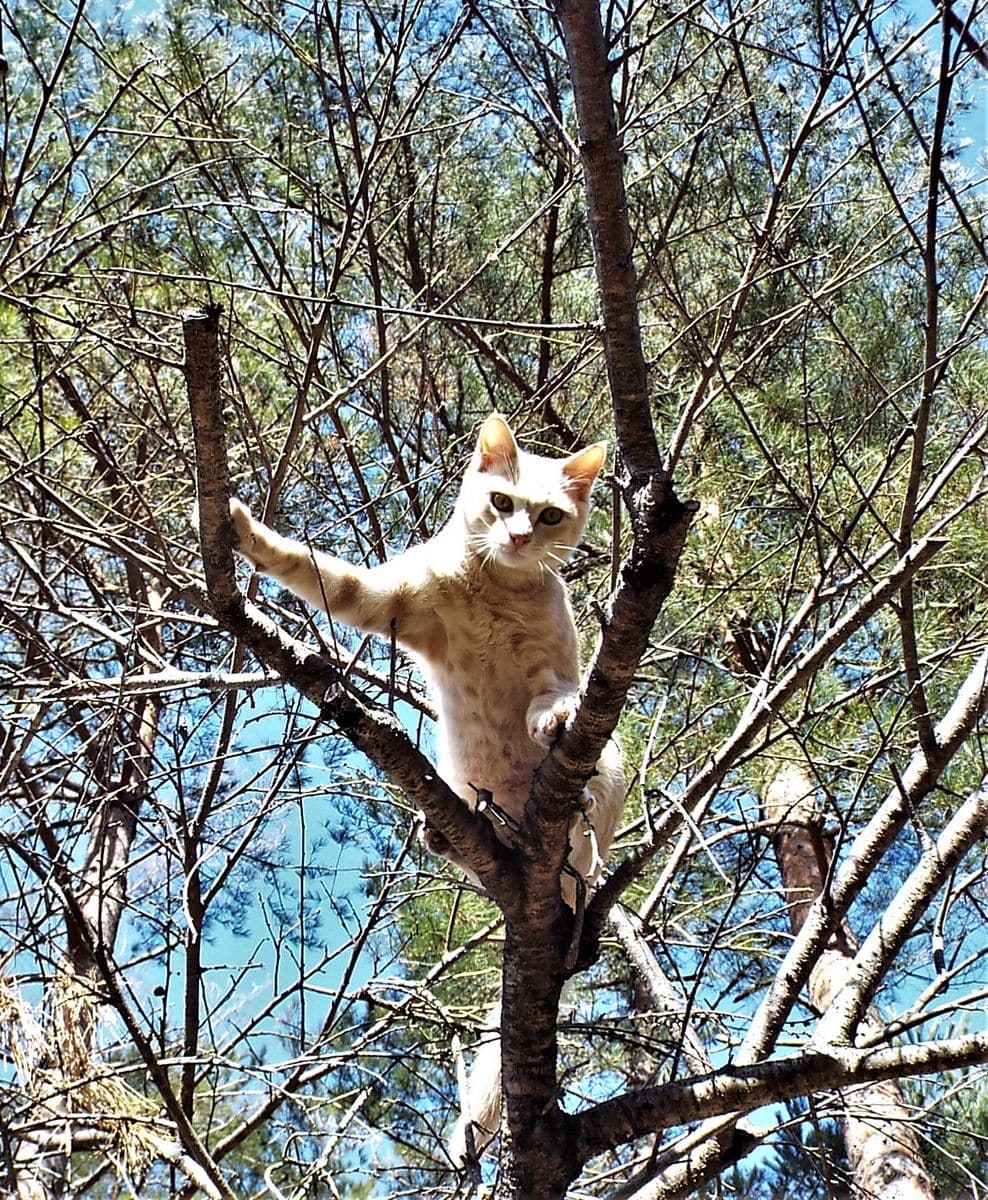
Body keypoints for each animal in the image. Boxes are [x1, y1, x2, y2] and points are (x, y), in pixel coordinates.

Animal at [224, 412, 624, 1161]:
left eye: (550, 515)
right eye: (502, 502)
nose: (519, 537)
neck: (496, 589)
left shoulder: (558, 664)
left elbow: (555, 694)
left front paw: (549, 719)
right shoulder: (392, 601)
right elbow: (319, 573)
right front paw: (248, 532)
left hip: (605, 772)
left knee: (586, 836)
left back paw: (572, 804)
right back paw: (449, 833)